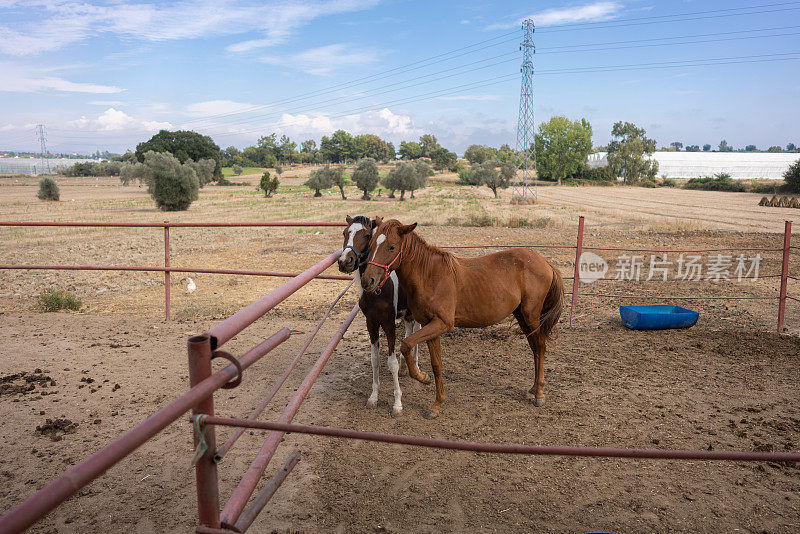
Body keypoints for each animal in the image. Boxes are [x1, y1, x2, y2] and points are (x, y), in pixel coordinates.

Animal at [336, 215, 418, 418]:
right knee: (410, 330)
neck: (378, 289)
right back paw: (406, 366)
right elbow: (375, 360)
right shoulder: (371, 323)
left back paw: (416, 365)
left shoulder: (388, 324)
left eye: (367, 235)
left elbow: (391, 362)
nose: (344, 261)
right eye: (344, 232)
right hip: (406, 313)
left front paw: (397, 404)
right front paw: (373, 397)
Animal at [362, 220, 564, 420]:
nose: (367, 281)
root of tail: (545, 262)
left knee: (540, 347)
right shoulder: (430, 326)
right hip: (522, 316)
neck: (429, 275)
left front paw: (421, 376)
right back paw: (532, 389)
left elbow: (406, 345)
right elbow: (436, 364)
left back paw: (539, 394)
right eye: (371, 245)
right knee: (535, 348)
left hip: (532, 316)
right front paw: (436, 403)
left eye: (391, 246)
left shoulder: (442, 324)